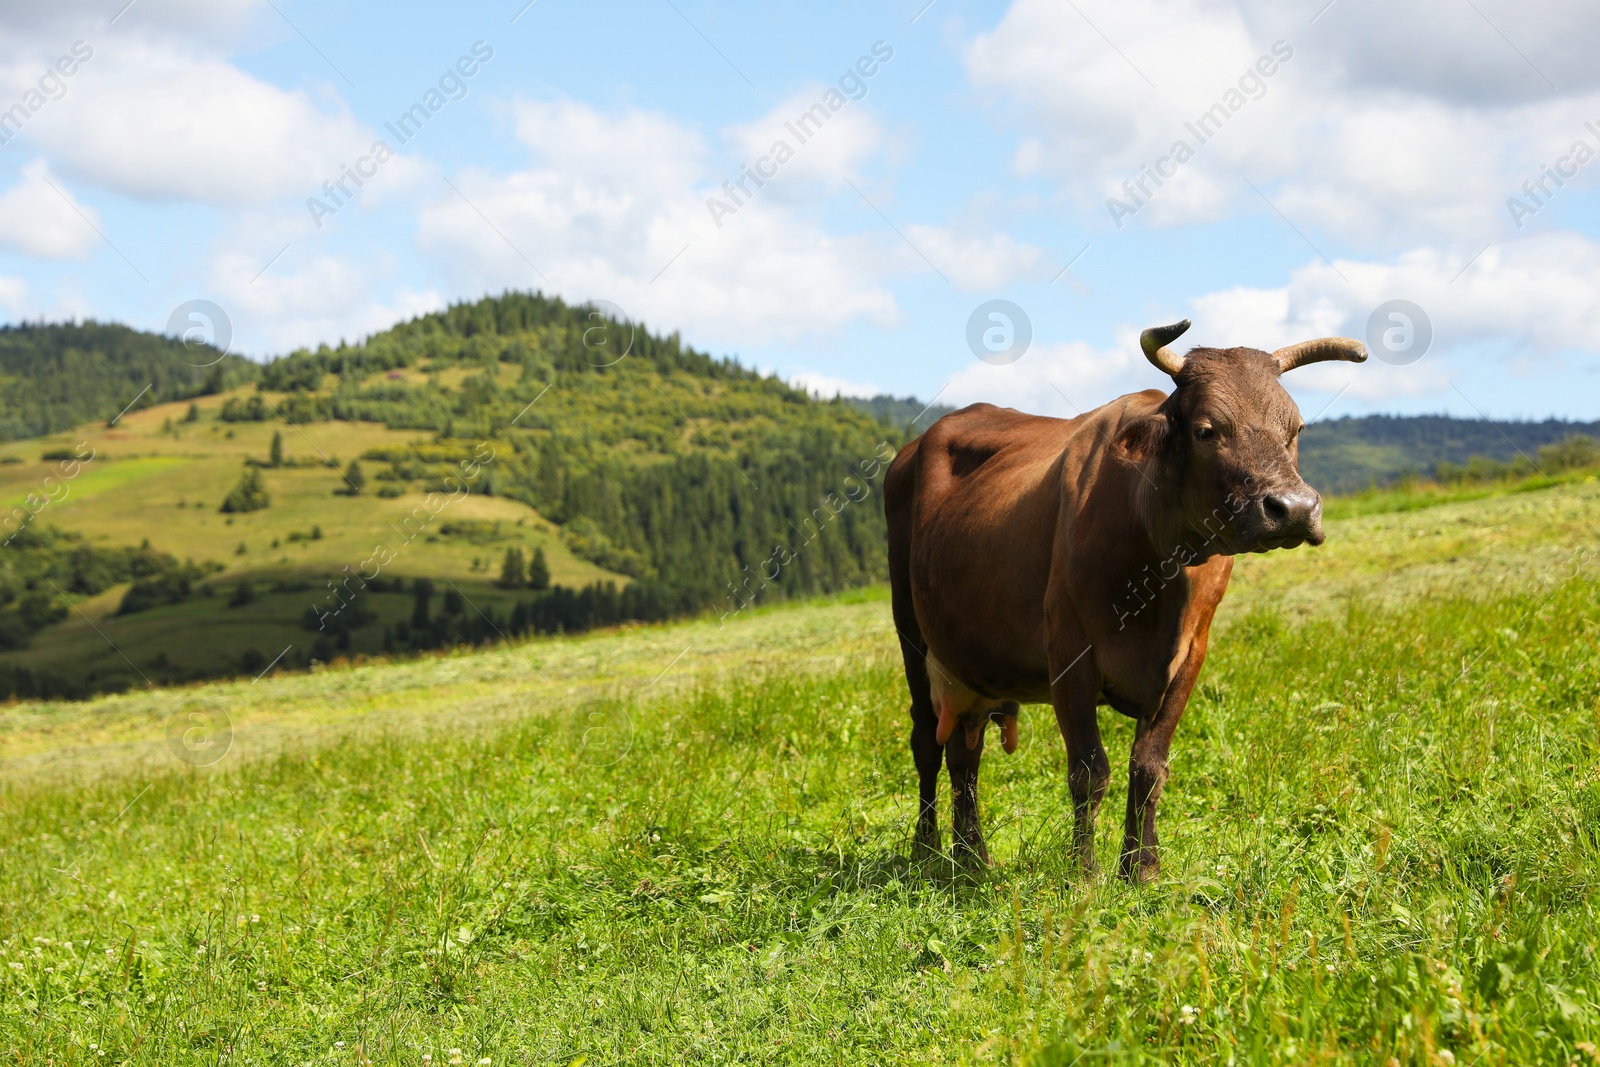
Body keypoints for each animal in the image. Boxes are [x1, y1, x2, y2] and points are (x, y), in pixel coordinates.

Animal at [889, 319, 1363, 883]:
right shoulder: (1069, 654)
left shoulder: (1190, 656)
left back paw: (971, 858)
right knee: (926, 743)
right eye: (1206, 430)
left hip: (971, 662)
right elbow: (1089, 772)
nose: (1292, 508)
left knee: (965, 753)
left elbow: (1149, 766)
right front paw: (1085, 872)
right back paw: (927, 848)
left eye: (1296, 429)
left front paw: (1142, 868)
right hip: (911, 633)